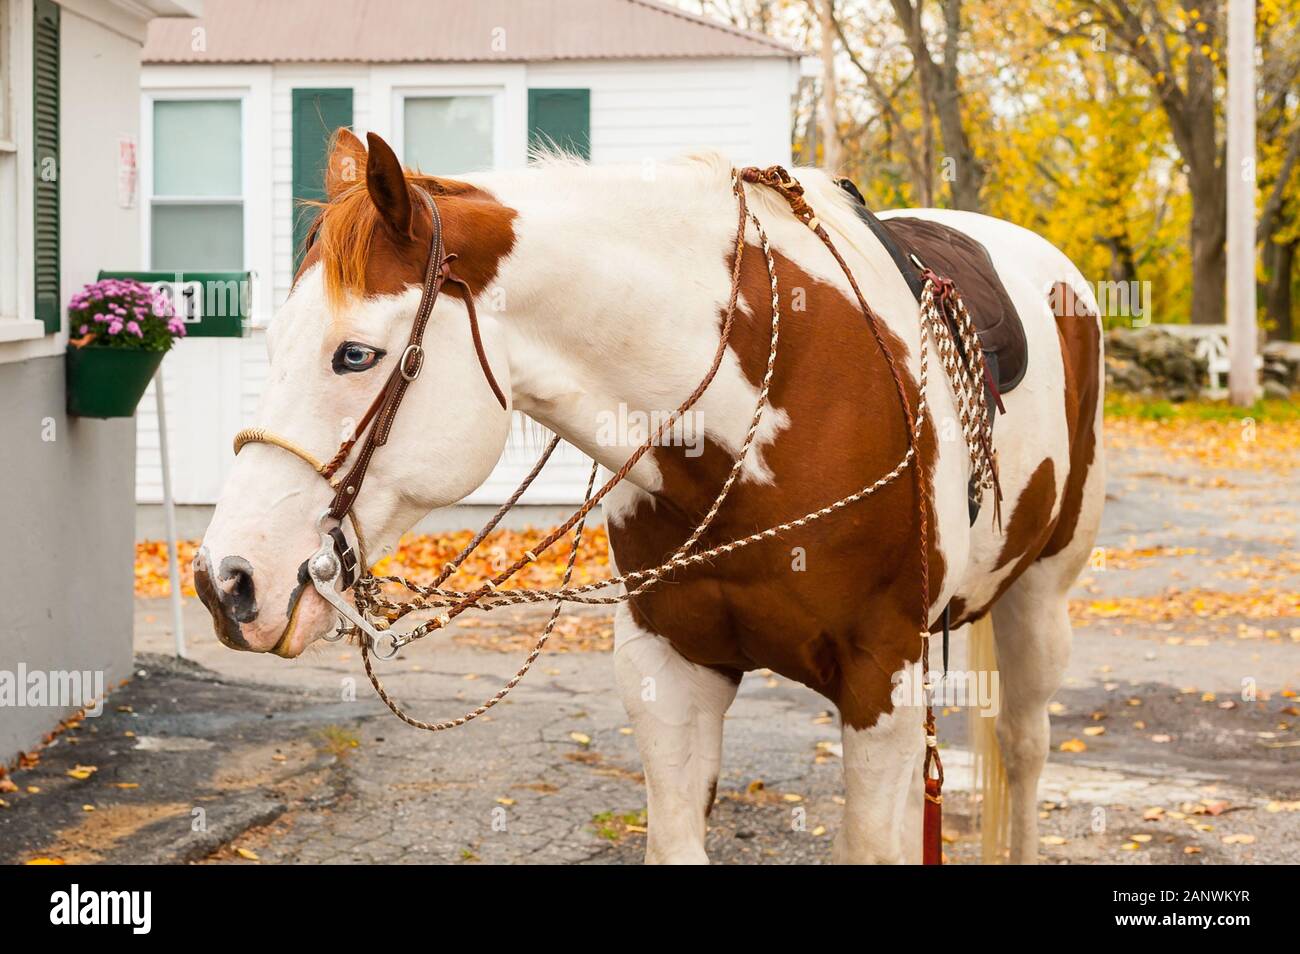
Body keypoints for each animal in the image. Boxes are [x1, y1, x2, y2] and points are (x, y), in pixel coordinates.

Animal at [194, 128, 1104, 865]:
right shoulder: (667, 666)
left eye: (355, 355)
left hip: (1038, 602)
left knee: (1023, 749)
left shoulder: (883, 677)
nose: (224, 582)